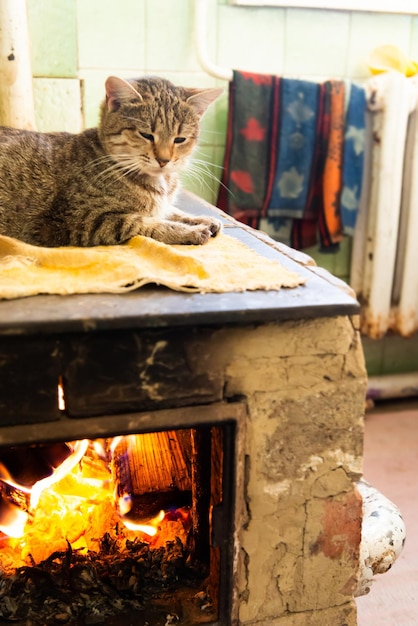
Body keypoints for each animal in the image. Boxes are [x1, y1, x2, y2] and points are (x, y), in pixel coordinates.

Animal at [0, 74, 224, 245]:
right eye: (146, 135)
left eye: (179, 139)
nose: (163, 160)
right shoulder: (82, 220)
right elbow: (144, 222)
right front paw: (189, 231)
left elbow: (169, 210)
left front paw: (200, 218)